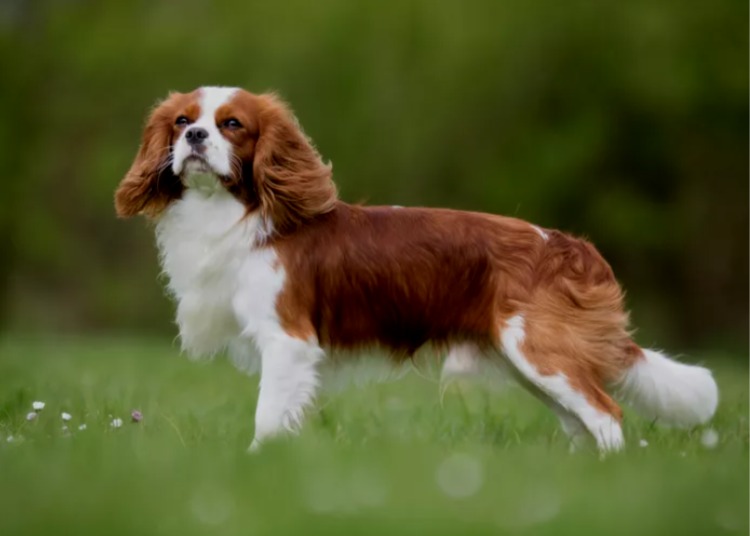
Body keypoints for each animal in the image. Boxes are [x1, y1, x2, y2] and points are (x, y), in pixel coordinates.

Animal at [114, 86, 720, 450]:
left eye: (232, 124)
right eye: (183, 121)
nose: (194, 137)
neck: (233, 212)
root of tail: (572, 247)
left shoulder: (287, 341)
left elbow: (267, 418)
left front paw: (259, 461)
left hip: (540, 351)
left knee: (607, 413)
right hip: (531, 364)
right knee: (581, 421)